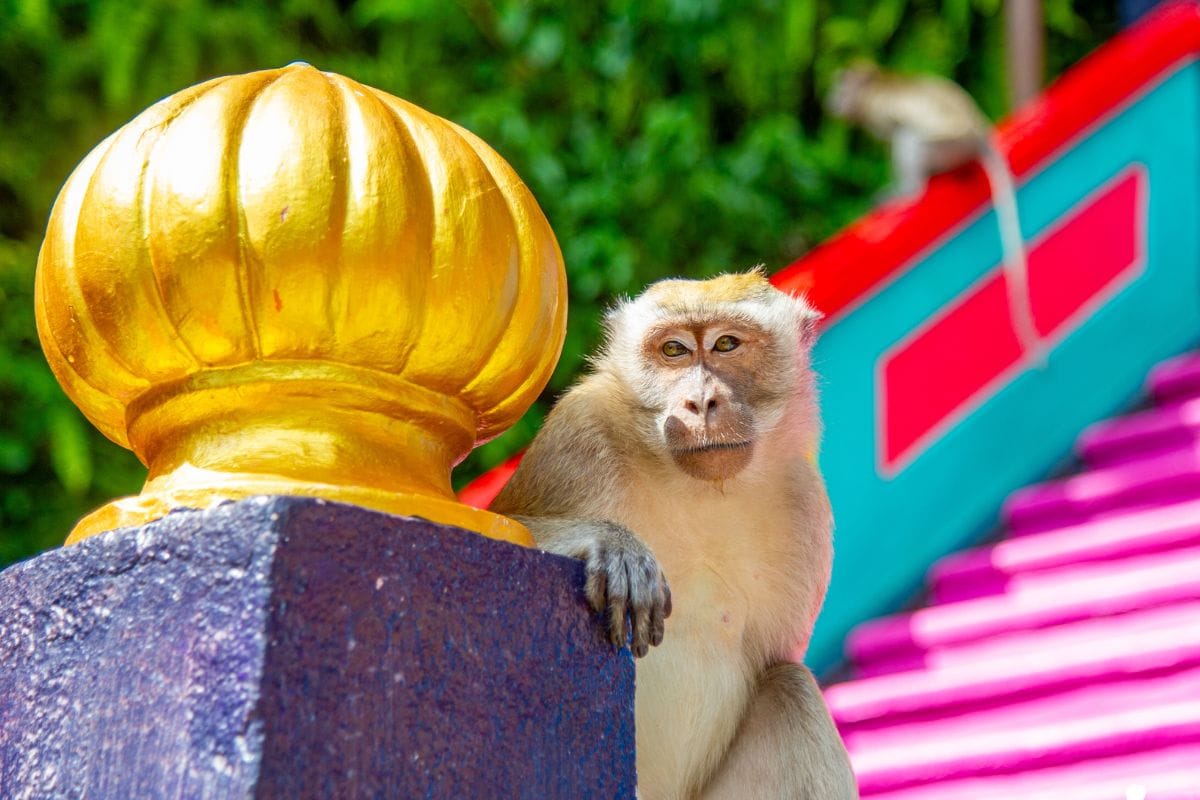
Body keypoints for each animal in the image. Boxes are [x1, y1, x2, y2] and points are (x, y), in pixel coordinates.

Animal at [492, 270, 858, 800]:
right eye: (674, 350)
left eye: (726, 344)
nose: (700, 402)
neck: (698, 490)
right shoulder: (577, 437)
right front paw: (614, 546)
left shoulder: (806, 505)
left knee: (790, 688)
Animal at [827, 62, 1043, 366]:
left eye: (839, 90)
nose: (831, 102)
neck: (874, 86)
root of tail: (978, 127)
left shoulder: (879, 113)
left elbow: (895, 132)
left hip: (949, 146)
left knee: (909, 138)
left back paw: (907, 193)